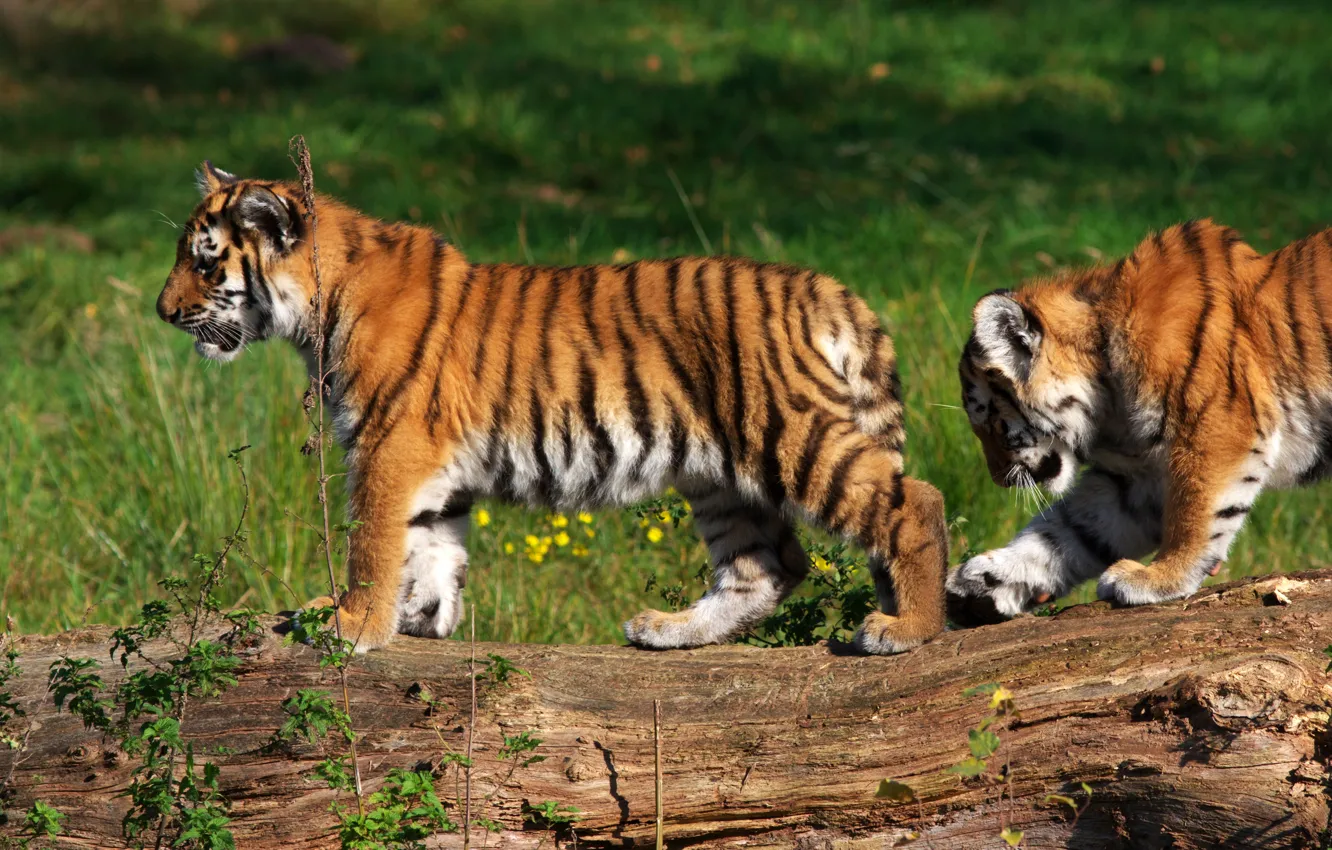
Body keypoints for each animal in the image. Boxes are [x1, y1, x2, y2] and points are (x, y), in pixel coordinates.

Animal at [154, 161, 949, 653]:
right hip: (718, 475)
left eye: (203, 261)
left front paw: (353, 623)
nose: (162, 312)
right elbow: (429, 544)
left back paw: (906, 628)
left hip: (790, 435)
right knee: (768, 566)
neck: (318, 308)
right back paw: (668, 630)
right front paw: (420, 618)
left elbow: (374, 540)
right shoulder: (429, 463)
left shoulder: (389, 444)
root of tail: (828, 289)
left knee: (915, 502)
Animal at [946, 217, 1332, 624]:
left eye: (990, 421)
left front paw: (1160, 576)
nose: (998, 480)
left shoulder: (1217, 430)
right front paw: (985, 581)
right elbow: (1068, 530)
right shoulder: (1139, 478)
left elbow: (1195, 512)